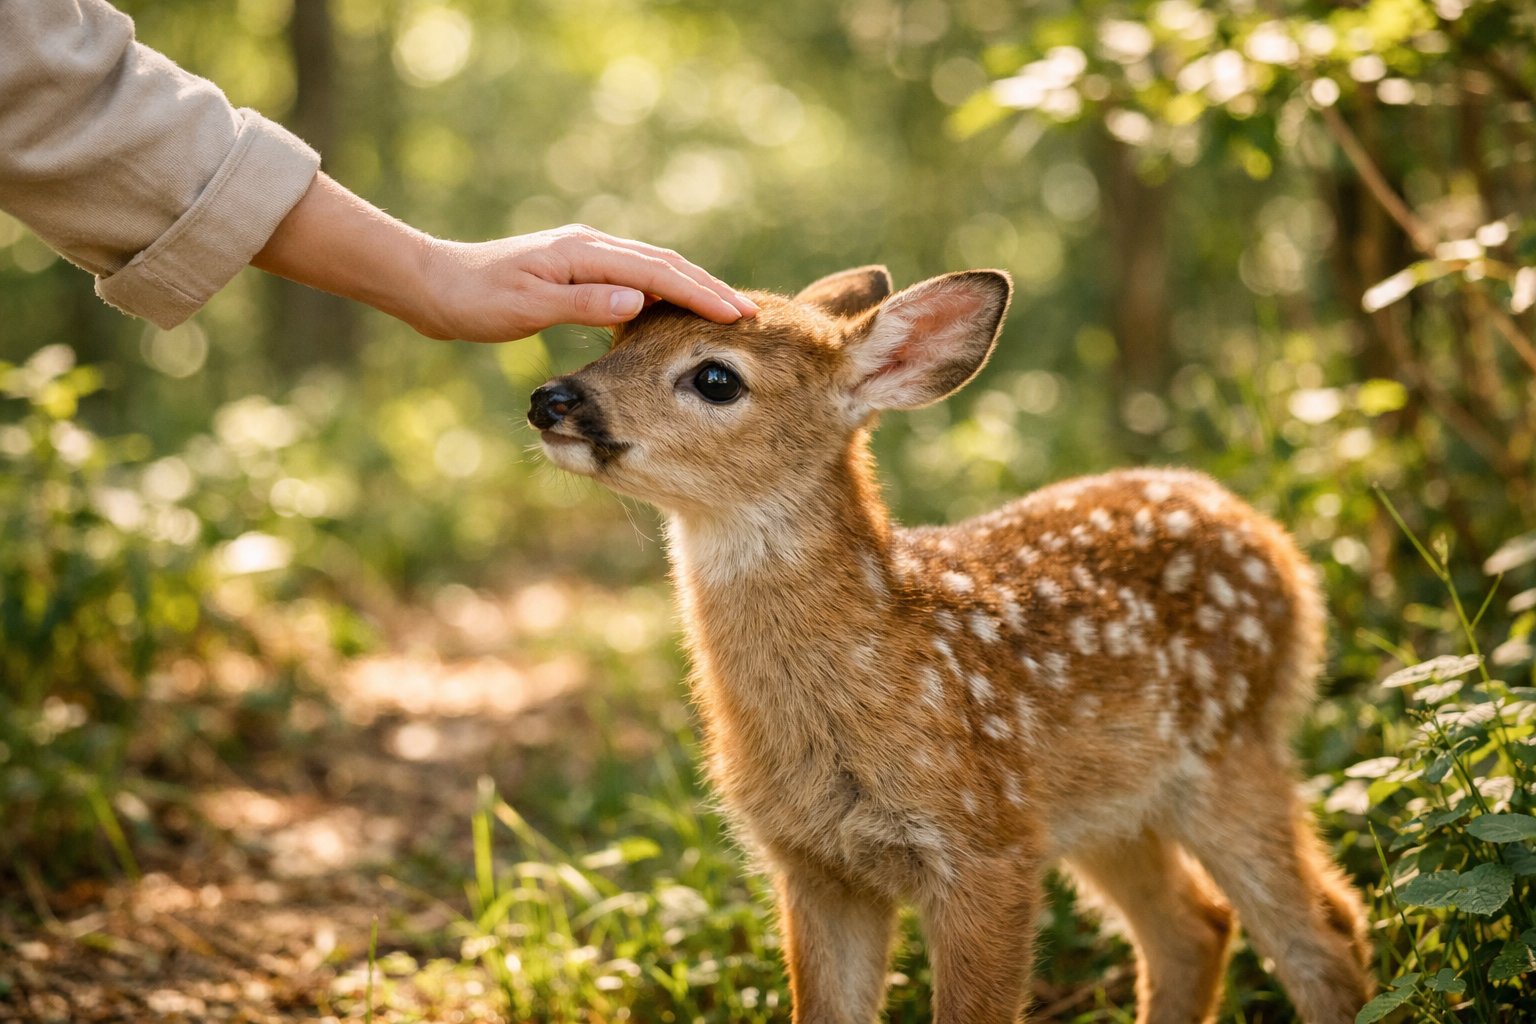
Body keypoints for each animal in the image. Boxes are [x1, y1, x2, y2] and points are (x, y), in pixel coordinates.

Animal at [526, 266, 1373, 1024]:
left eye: (715, 378)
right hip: (1105, 807)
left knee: (1326, 926)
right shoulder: (814, 864)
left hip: (1231, 746)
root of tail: (1280, 547)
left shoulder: (983, 846)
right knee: (1193, 928)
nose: (551, 398)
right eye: (618, 337)